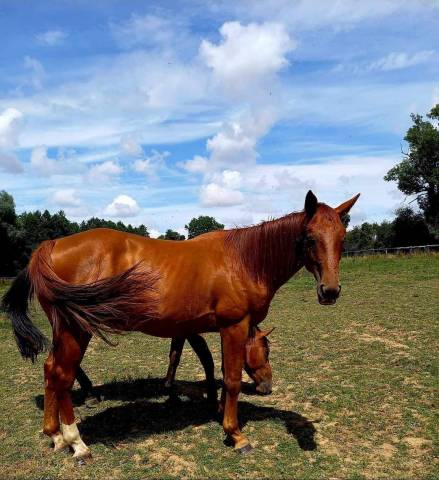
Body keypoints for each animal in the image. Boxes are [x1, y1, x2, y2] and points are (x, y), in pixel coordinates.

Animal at [1, 189, 360, 460]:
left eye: (342, 237)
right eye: (310, 238)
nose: (330, 291)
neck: (243, 260)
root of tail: (50, 247)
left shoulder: (195, 329)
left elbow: (210, 366)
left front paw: (213, 407)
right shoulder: (233, 326)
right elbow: (230, 378)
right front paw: (236, 434)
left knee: (51, 371)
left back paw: (55, 436)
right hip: (77, 330)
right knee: (62, 375)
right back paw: (77, 443)